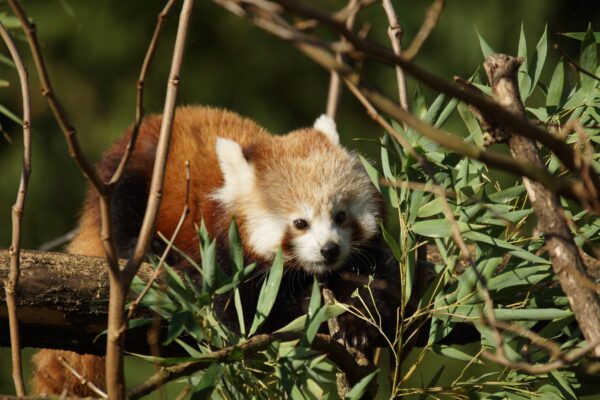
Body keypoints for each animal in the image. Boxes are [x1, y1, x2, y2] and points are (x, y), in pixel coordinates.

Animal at [31, 106, 398, 396]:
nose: (329, 250)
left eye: (340, 215)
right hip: (133, 174)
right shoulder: (222, 259)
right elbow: (244, 315)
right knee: (126, 220)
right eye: (300, 223)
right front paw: (307, 302)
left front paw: (356, 324)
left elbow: (375, 285)